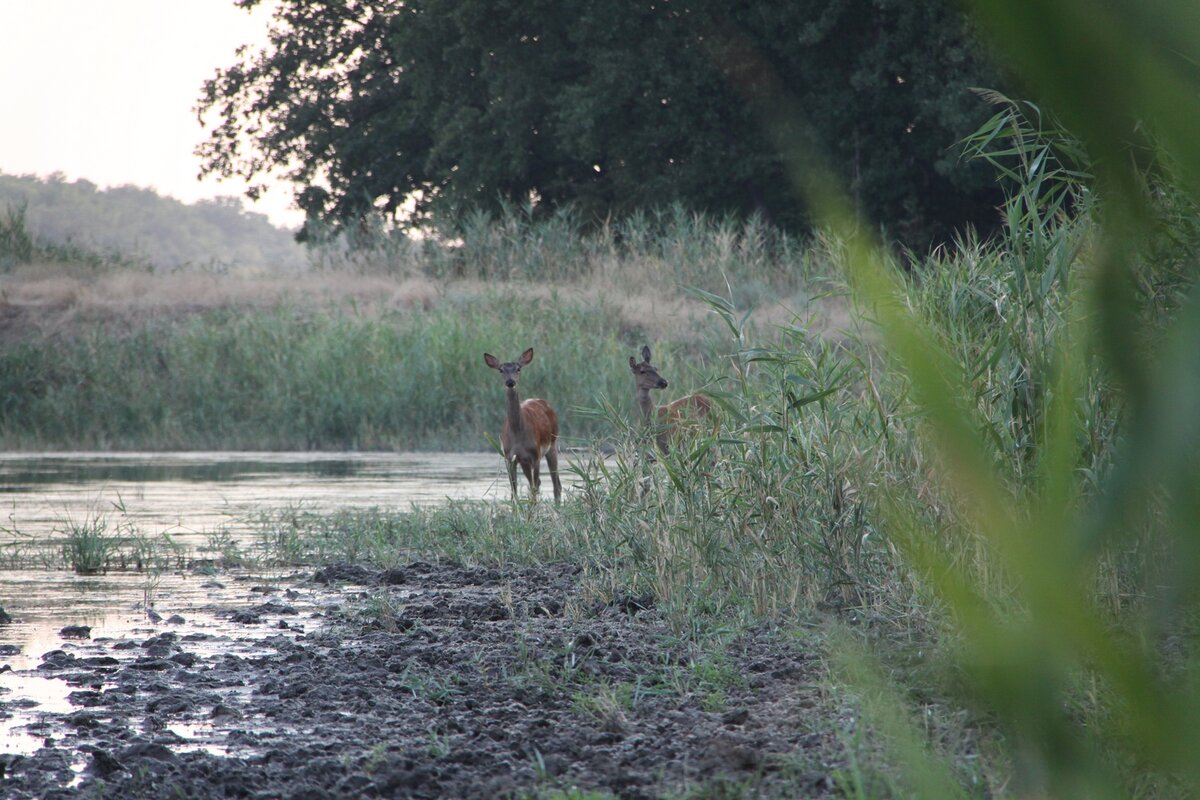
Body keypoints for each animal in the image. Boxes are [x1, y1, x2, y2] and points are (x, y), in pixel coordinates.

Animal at [482, 347, 561, 503]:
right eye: (501, 370)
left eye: (518, 368)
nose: (510, 382)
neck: (517, 434)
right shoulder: (509, 457)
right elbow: (514, 489)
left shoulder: (535, 455)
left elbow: (535, 486)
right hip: (525, 461)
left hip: (552, 444)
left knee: (554, 484)